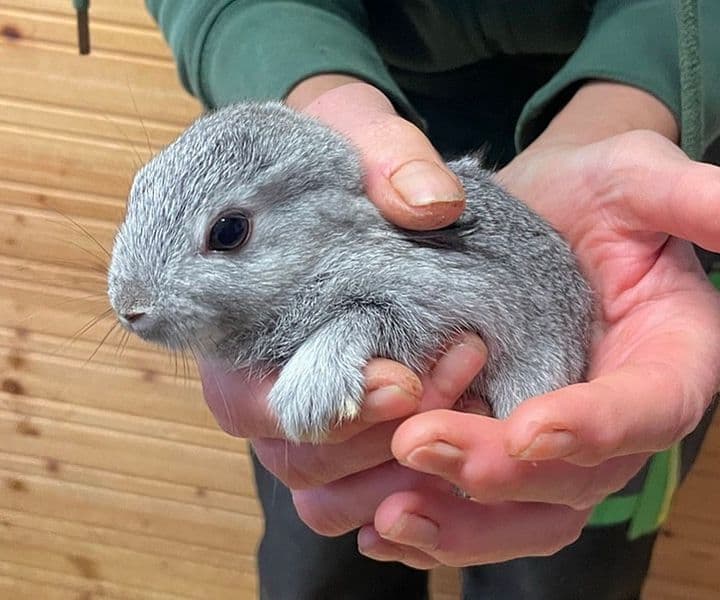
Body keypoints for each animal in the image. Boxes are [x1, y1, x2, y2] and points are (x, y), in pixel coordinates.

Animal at [107, 101, 593, 443]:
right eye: (138, 188)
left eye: (229, 231)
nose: (131, 307)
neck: (323, 251)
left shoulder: (440, 294)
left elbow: (365, 315)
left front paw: (307, 397)